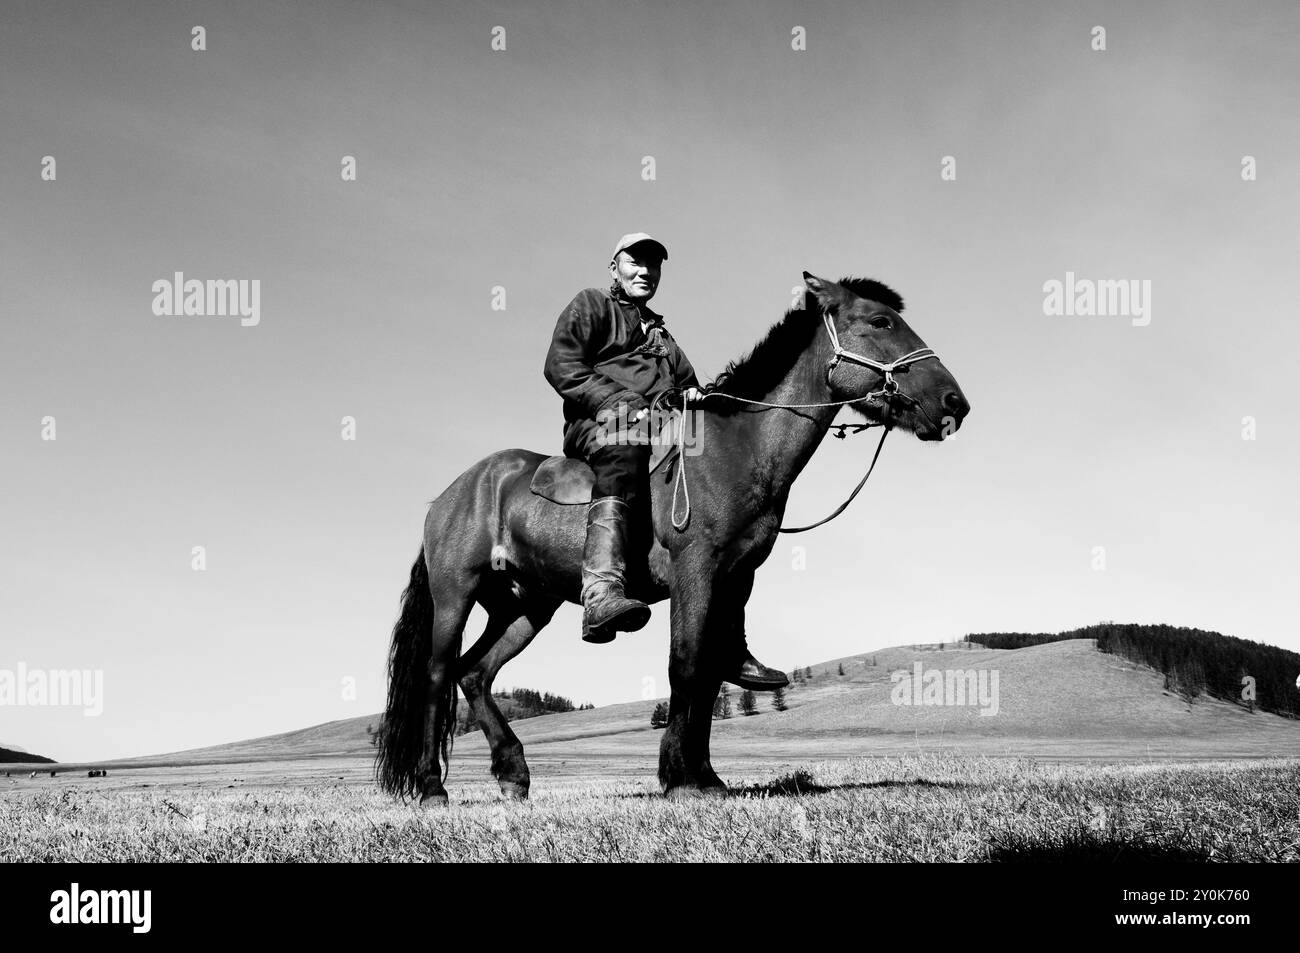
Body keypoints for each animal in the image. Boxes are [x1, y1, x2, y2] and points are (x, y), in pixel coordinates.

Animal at [375, 272, 970, 803]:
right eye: (880, 321)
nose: (953, 404)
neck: (736, 450)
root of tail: (449, 495)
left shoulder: (735, 574)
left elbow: (710, 670)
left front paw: (706, 776)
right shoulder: (694, 568)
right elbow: (685, 665)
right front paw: (680, 777)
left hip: (526, 606)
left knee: (474, 674)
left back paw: (513, 773)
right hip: (457, 593)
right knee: (437, 675)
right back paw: (431, 789)